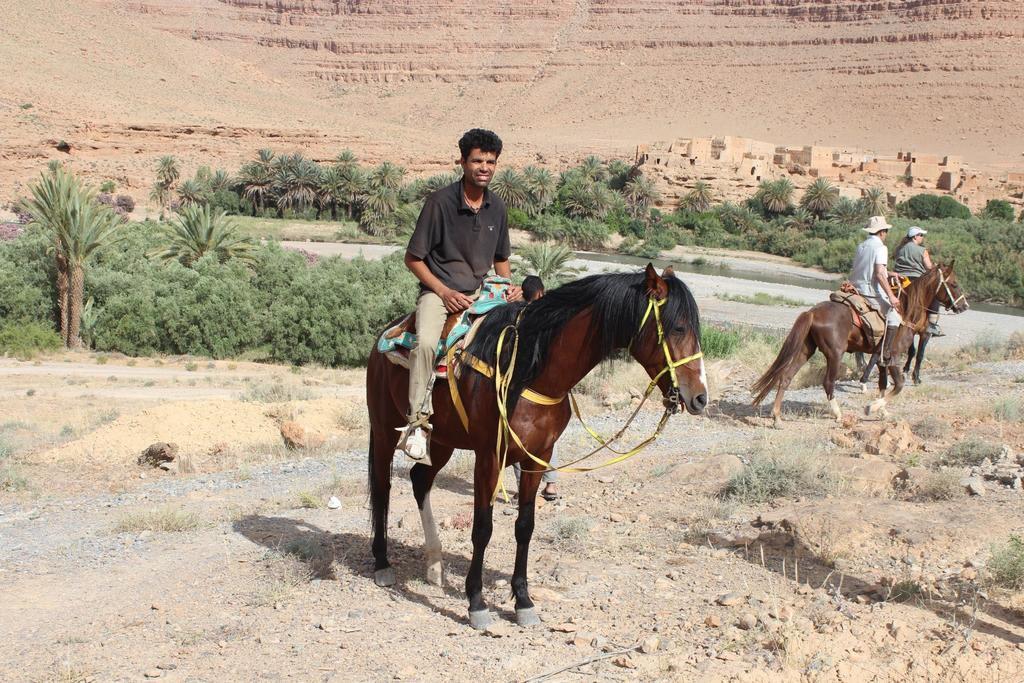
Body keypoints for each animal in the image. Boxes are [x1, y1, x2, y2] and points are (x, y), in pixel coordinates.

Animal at [364, 266, 708, 630]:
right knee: (383, 488)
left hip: (444, 440)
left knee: (420, 481)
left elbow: (524, 527)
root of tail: (387, 333)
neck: (529, 369)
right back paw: (383, 563)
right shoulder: (489, 457)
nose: (701, 397)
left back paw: (434, 565)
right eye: (678, 327)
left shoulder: (537, 457)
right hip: (384, 431)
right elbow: (483, 529)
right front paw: (477, 602)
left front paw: (523, 601)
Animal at [749, 264, 962, 423]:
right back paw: (838, 414)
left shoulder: (881, 359)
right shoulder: (893, 357)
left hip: (805, 350)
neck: (906, 311)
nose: (964, 305)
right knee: (827, 382)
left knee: (786, 376)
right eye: (954, 284)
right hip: (835, 354)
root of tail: (813, 312)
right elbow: (899, 385)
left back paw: (777, 416)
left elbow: (883, 384)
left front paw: (882, 411)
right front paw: (871, 408)